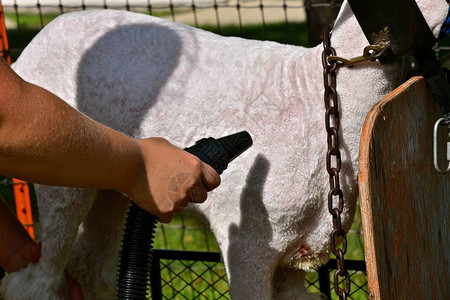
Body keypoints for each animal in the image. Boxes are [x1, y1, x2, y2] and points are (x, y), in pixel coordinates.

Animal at [0, 1, 446, 298]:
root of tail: (41, 36)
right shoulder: (248, 239)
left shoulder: (293, 251)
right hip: (59, 172)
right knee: (40, 277)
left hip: (115, 177)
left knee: (88, 265)